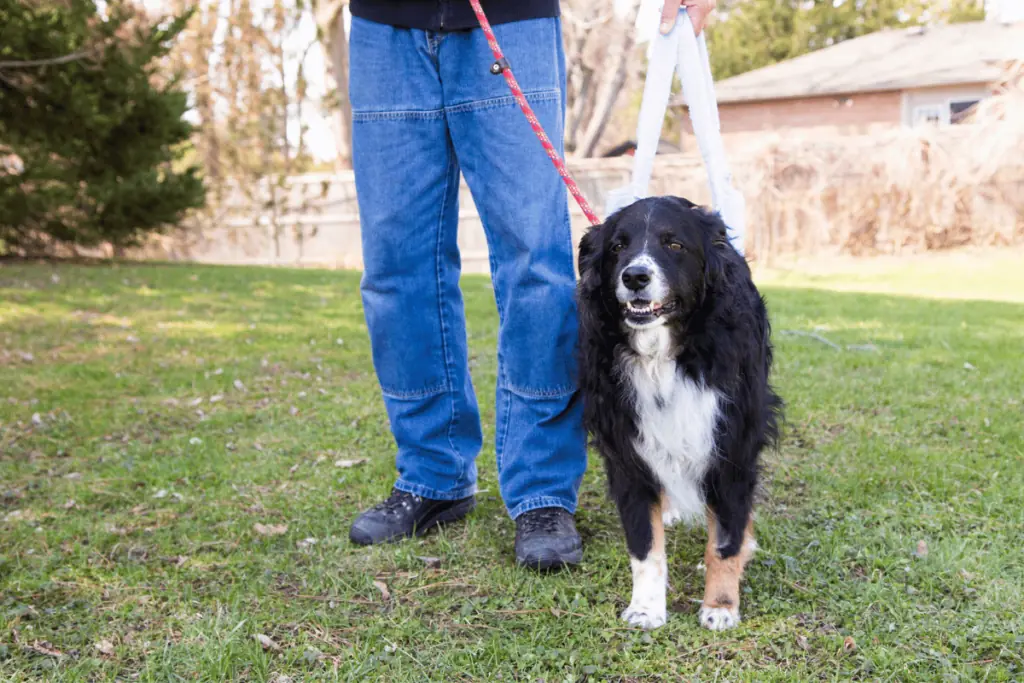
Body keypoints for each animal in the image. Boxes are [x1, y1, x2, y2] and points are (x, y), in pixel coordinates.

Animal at [577, 196, 782, 630]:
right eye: (617, 247)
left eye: (674, 245)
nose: (635, 276)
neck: (664, 355)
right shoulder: (627, 450)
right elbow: (644, 544)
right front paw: (646, 607)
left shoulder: (731, 445)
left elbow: (724, 540)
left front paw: (721, 606)